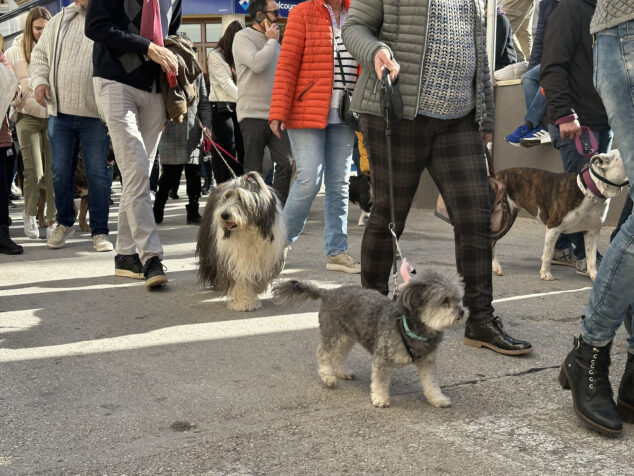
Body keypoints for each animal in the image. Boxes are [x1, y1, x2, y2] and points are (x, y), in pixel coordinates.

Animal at [272, 270, 464, 408]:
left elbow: (431, 383)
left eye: (459, 299)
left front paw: (437, 398)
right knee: (323, 354)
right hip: (333, 334)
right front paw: (380, 398)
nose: (462, 312)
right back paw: (328, 377)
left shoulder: (427, 362)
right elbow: (380, 381)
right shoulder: (383, 359)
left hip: (347, 337)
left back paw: (342, 371)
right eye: (444, 301)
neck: (410, 328)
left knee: (339, 355)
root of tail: (328, 292)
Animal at [492, 151, 624, 280]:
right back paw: (497, 266)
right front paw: (545, 273)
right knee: (492, 241)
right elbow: (548, 254)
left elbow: (591, 257)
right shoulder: (553, 227)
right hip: (504, 218)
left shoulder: (592, 232)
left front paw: (594, 275)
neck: (590, 192)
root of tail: (494, 176)